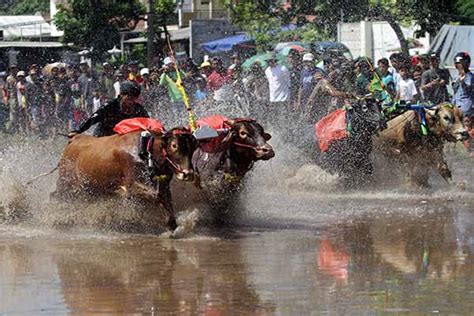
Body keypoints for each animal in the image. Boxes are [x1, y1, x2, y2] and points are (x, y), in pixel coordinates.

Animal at [52, 128, 197, 230]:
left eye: (192, 148)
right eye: (174, 145)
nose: (188, 173)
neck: (146, 151)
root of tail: (74, 138)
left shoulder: (163, 184)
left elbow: (166, 200)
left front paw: (172, 224)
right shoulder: (131, 185)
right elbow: (156, 195)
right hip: (66, 184)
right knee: (55, 196)